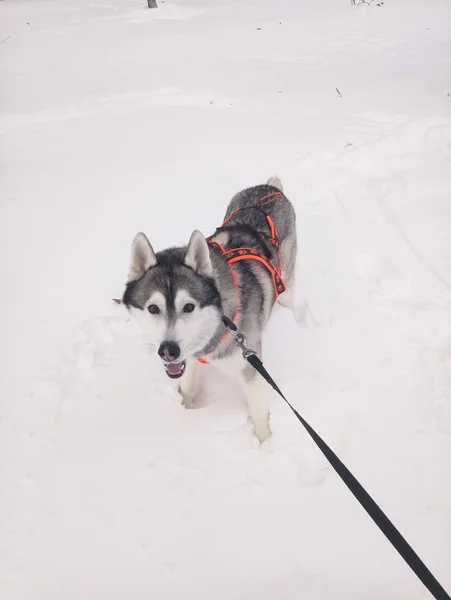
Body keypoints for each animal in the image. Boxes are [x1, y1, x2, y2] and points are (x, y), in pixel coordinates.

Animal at [122, 177, 296, 440]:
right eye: (153, 308)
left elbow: (259, 417)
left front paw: (267, 444)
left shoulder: (251, 368)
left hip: (287, 263)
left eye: (188, 306)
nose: (168, 351)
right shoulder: (190, 357)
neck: (220, 322)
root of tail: (268, 187)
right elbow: (187, 387)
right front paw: (181, 413)